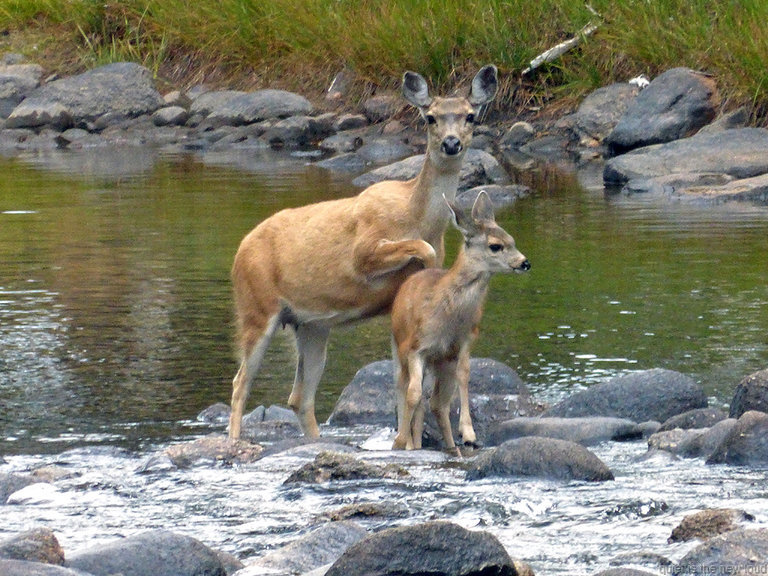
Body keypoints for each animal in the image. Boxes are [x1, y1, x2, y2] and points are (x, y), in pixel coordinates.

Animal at [228, 63, 498, 438]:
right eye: (430, 117)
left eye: (470, 115)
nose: (451, 143)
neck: (415, 215)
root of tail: (239, 251)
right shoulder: (364, 250)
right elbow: (420, 252)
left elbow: (403, 380)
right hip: (256, 306)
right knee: (240, 383)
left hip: (310, 324)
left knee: (299, 397)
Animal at [392, 191, 532, 456]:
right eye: (495, 246)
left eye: (512, 239)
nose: (524, 263)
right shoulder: (416, 347)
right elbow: (413, 395)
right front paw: (399, 442)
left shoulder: (465, 340)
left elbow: (465, 376)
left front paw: (468, 433)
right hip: (400, 351)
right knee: (405, 390)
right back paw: (410, 443)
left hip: (441, 363)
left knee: (437, 403)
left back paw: (448, 446)